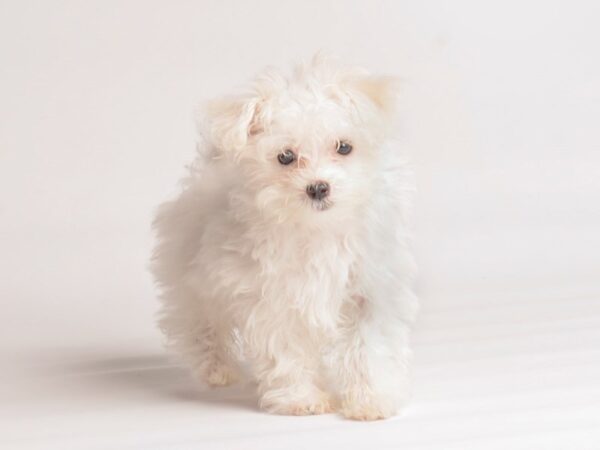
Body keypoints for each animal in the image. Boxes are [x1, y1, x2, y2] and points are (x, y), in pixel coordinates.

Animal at [151, 54, 418, 420]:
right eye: (286, 157)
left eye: (344, 147)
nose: (318, 187)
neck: (317, 229)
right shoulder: (271, 298)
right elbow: (285, 351)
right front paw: (301, 399)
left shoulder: (370, 291)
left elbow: (368, 347)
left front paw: (370, 400)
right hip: (191, 280)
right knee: (200, 326)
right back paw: (217, 370)